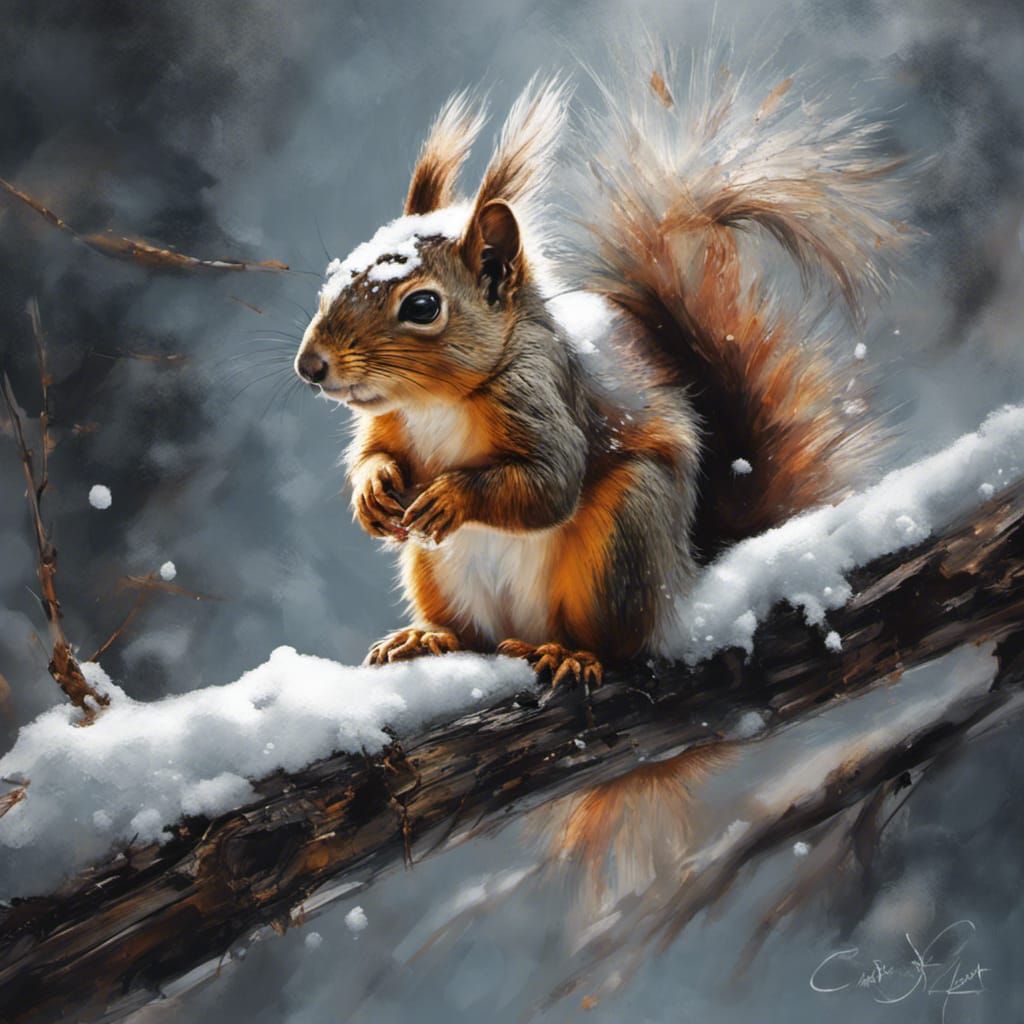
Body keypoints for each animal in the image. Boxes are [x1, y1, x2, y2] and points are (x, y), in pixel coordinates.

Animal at [294, 55, 901, 692]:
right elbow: (373, 455)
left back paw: (572, 654)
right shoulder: (389, 422)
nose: (311, 367)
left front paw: (452, 497)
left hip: (624, 537)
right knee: (470, 634)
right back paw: (426, 637)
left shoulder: (543, 396)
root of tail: (683, 576)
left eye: (421, 306)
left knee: (617, 641)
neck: (433, 402)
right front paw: (372, 488)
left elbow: (550, 483)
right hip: (434, 571)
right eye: (333, 278)